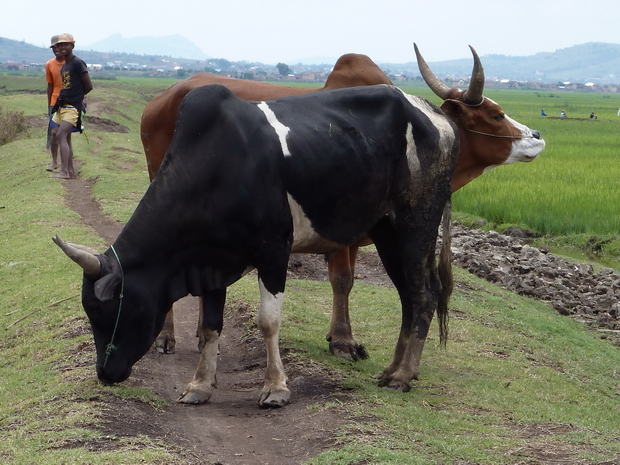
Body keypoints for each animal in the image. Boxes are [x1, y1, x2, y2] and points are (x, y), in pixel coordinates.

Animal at [54, 82, 460, 406]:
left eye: (103, 309)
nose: (105, 373)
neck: (217, 168)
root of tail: (434, 114)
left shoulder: (274, 251)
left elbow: (268, 321)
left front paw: (275, 388)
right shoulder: (211, 263)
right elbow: (211, 326)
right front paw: (200, 385)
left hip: (415, 223)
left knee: (424, 294)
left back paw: (401, 376)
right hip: (385, 230)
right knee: (410, 296)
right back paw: (394, 370)